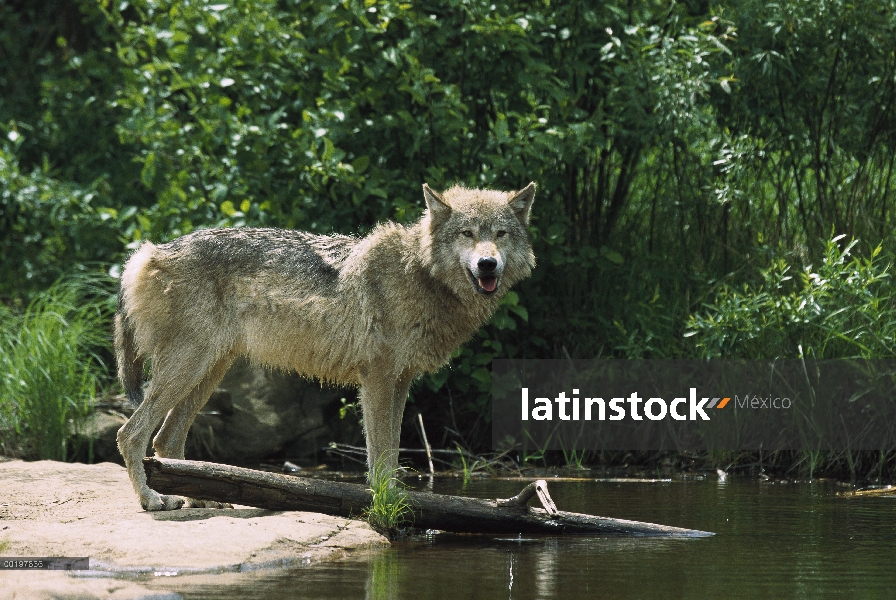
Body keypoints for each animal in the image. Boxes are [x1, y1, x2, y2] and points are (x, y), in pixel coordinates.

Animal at [114, 182, 536, 510]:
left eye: (500, 234)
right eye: (467, 233)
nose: (487, 264)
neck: (417, 273)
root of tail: (148, 252)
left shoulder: (400, 381)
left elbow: (393, 449)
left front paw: (399, 501)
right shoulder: (377, 378)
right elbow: (380, 455)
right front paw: (385, 504)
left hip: (207, 372)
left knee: (166, 440)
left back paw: (201, 498)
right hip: (188, 369)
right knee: (131, 434)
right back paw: (152, 499)